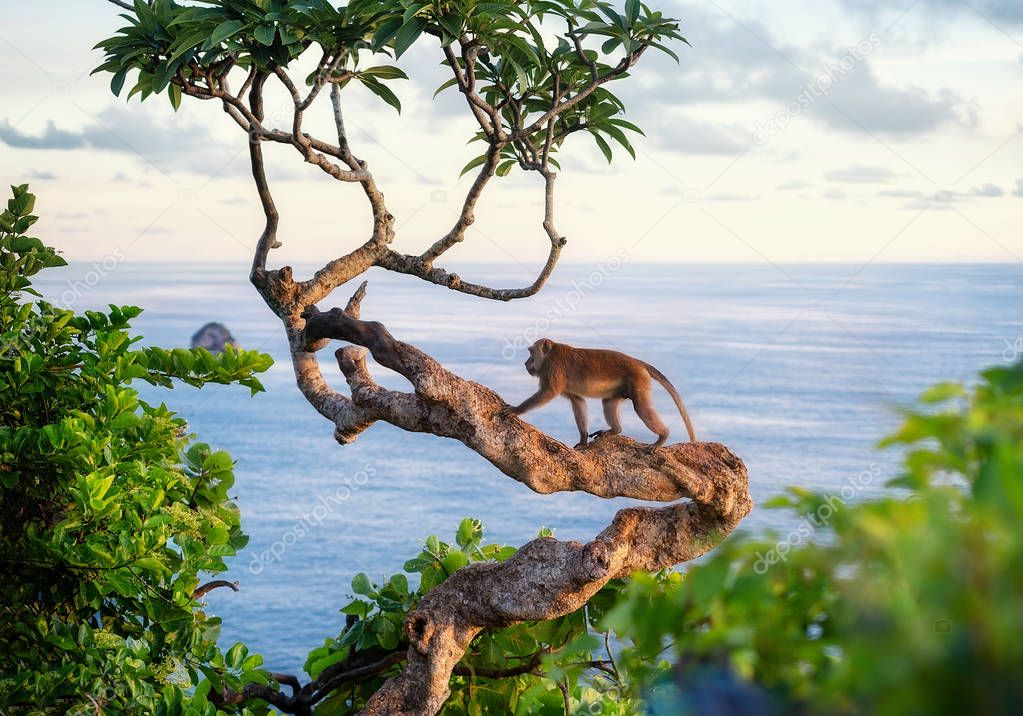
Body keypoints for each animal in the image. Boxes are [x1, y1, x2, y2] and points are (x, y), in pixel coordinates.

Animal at [499, 339, 699, 448]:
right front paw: (583, 438)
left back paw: (662, 437)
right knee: (609, 403)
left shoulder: (553, 369)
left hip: (638, 380)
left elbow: (548, 393)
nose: (526, 363)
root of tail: (638, 362)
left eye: (531, 353)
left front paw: (516, 410)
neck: (551, 353)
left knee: (641, 407)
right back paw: (615, 430)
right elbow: (578, 401)